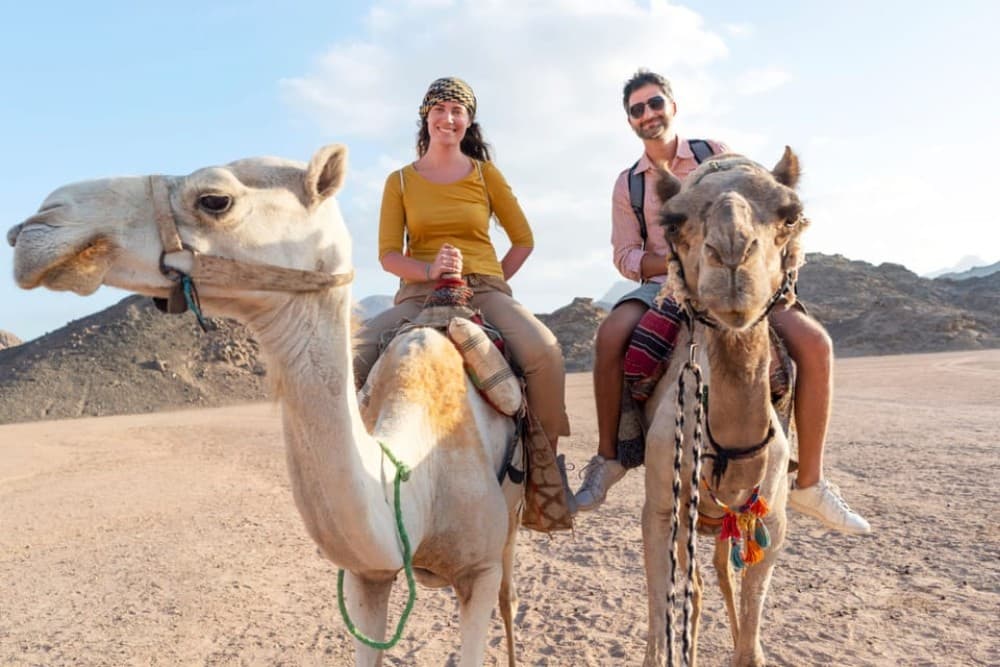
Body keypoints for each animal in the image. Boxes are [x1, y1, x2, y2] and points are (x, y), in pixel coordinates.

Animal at [6, 145, 524, 667]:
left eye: (214, 200)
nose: (37, 227)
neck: (419, 478)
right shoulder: (368, 575)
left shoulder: (478, 572)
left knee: (508, 598)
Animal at [640, 149, 805, 667]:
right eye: (672, 221)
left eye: (790, 214)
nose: (732, 253)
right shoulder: (660, 510)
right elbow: (662, 626)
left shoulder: (772, 519)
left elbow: (749, 642)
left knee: (717, 573)